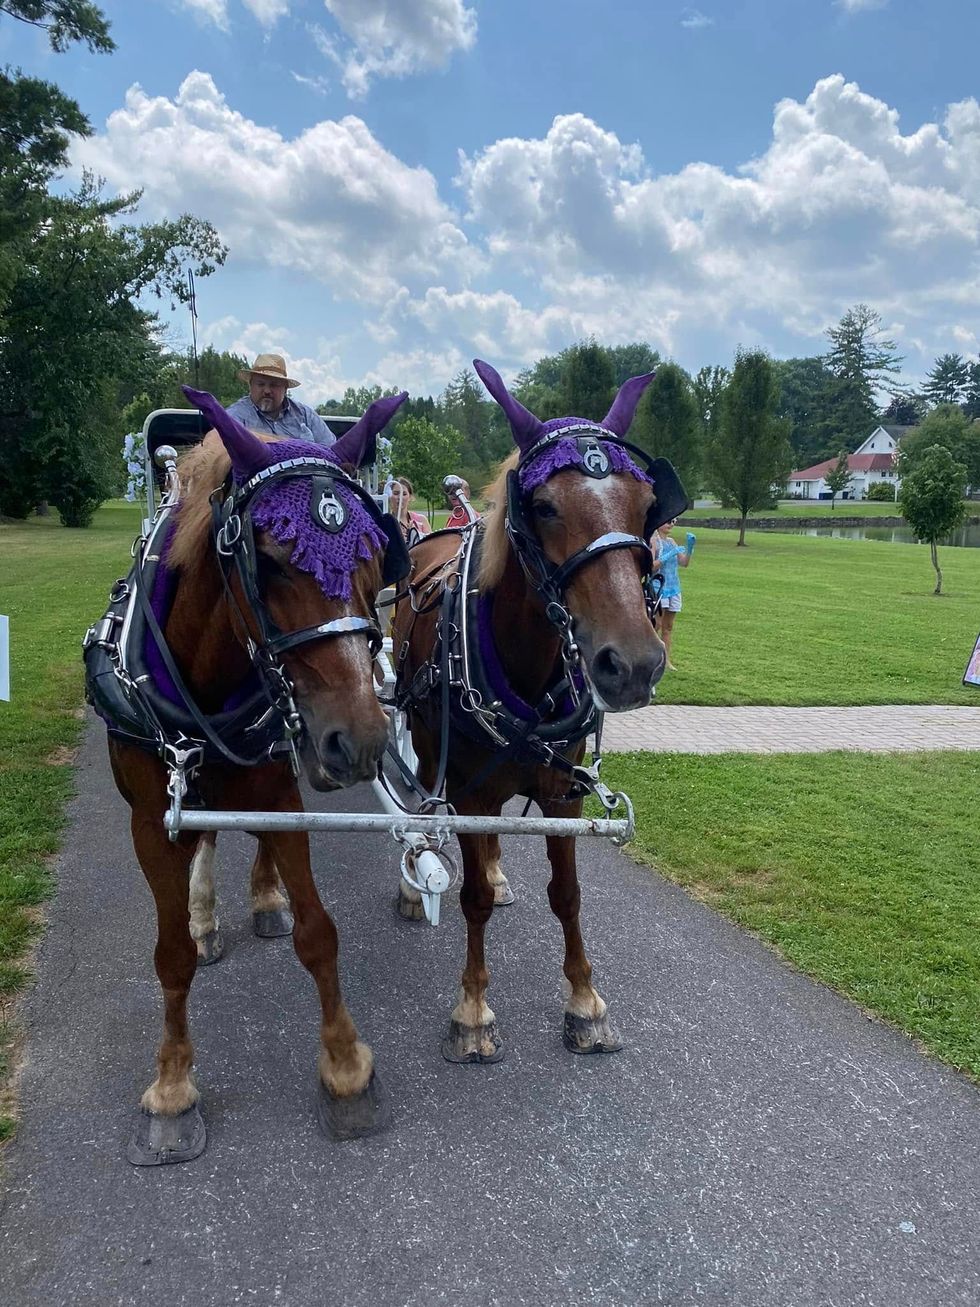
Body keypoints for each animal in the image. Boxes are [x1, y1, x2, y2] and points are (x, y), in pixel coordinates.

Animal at [85, 386, 409, 1163]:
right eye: (272, 560)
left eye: (376, 553)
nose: (358, 740)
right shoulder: (150, 819)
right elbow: (170, 954)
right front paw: (172, 1086)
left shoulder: (282, 790)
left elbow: (318, 931)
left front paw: (346, 1069)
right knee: (204, 842)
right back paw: (205, 914)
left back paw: (263, 896)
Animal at [391, 360, 687, 1064]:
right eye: (545, 506)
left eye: (647, 509)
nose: (634, 663)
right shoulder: (468, 790)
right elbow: (468, 896)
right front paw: (473, 1010)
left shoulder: (562, 793)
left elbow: (568, 896)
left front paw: (584, 1001)